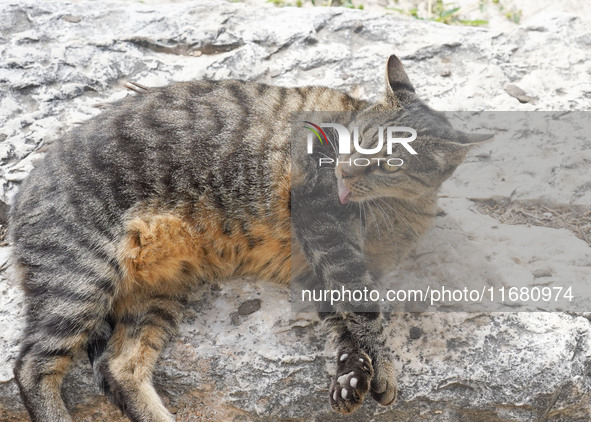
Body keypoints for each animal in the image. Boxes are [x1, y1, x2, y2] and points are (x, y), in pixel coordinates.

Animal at [10, 54, 490, 420]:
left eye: (391, 163)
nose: (344, 169)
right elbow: (363, 311)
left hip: (156, 291)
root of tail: (21, 192)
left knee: (120, 367)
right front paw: (383, 368)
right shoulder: (324, 231)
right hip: (82, 275)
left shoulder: (314, 268)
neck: (397, 212)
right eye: (361, 139)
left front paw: (351, 376)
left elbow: (345, 324)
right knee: (33, 365)